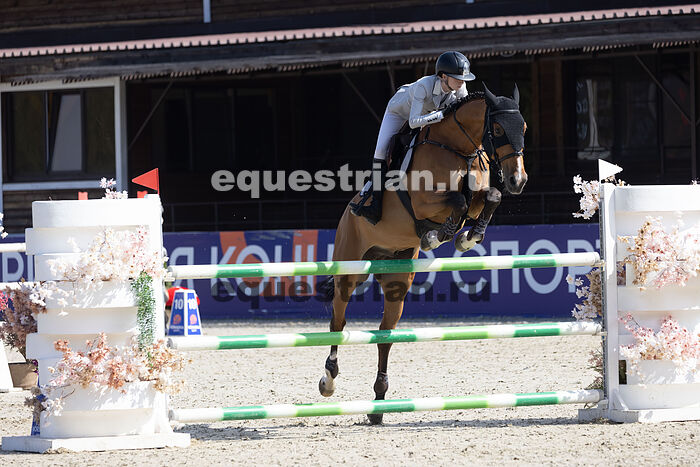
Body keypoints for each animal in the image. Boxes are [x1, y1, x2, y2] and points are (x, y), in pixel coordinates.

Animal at [318, 84, 528, 424]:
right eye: (497, 129)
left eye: (523, 128)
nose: (518, 181)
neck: (459, 149)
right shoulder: (424, 202)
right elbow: (457, 201)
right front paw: (437, 235)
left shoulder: (480, 196)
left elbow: (488, 197)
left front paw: (468, 237)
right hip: (348, 270)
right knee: (338, 321)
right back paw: (329, 379)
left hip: (397, 281)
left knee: (384, 334)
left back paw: (378, 405)